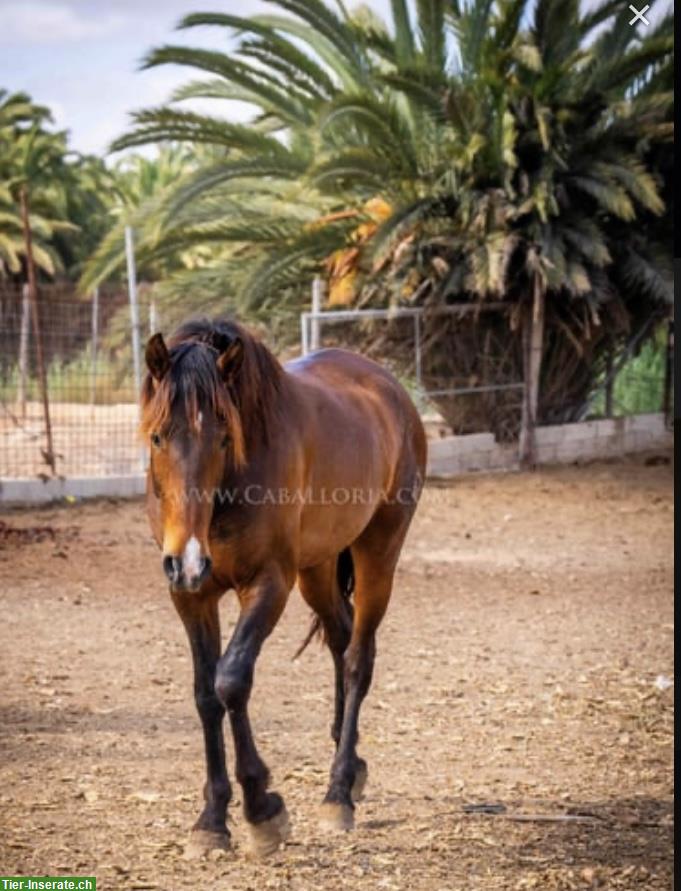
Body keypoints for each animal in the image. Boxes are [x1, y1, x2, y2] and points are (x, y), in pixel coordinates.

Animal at [140, 318, 422, 856]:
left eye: (225, 437)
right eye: (158, 436)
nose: (188, 558)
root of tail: (390, 388)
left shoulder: (269, 584)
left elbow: (231, 679)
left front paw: (261, 809)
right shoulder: (190, 595)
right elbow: (206, 694)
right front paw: (212, 820)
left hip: (379, 552)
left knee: (358, 658)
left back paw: (338, 794)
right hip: (318, 567)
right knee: (340, 636)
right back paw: (352, 767)